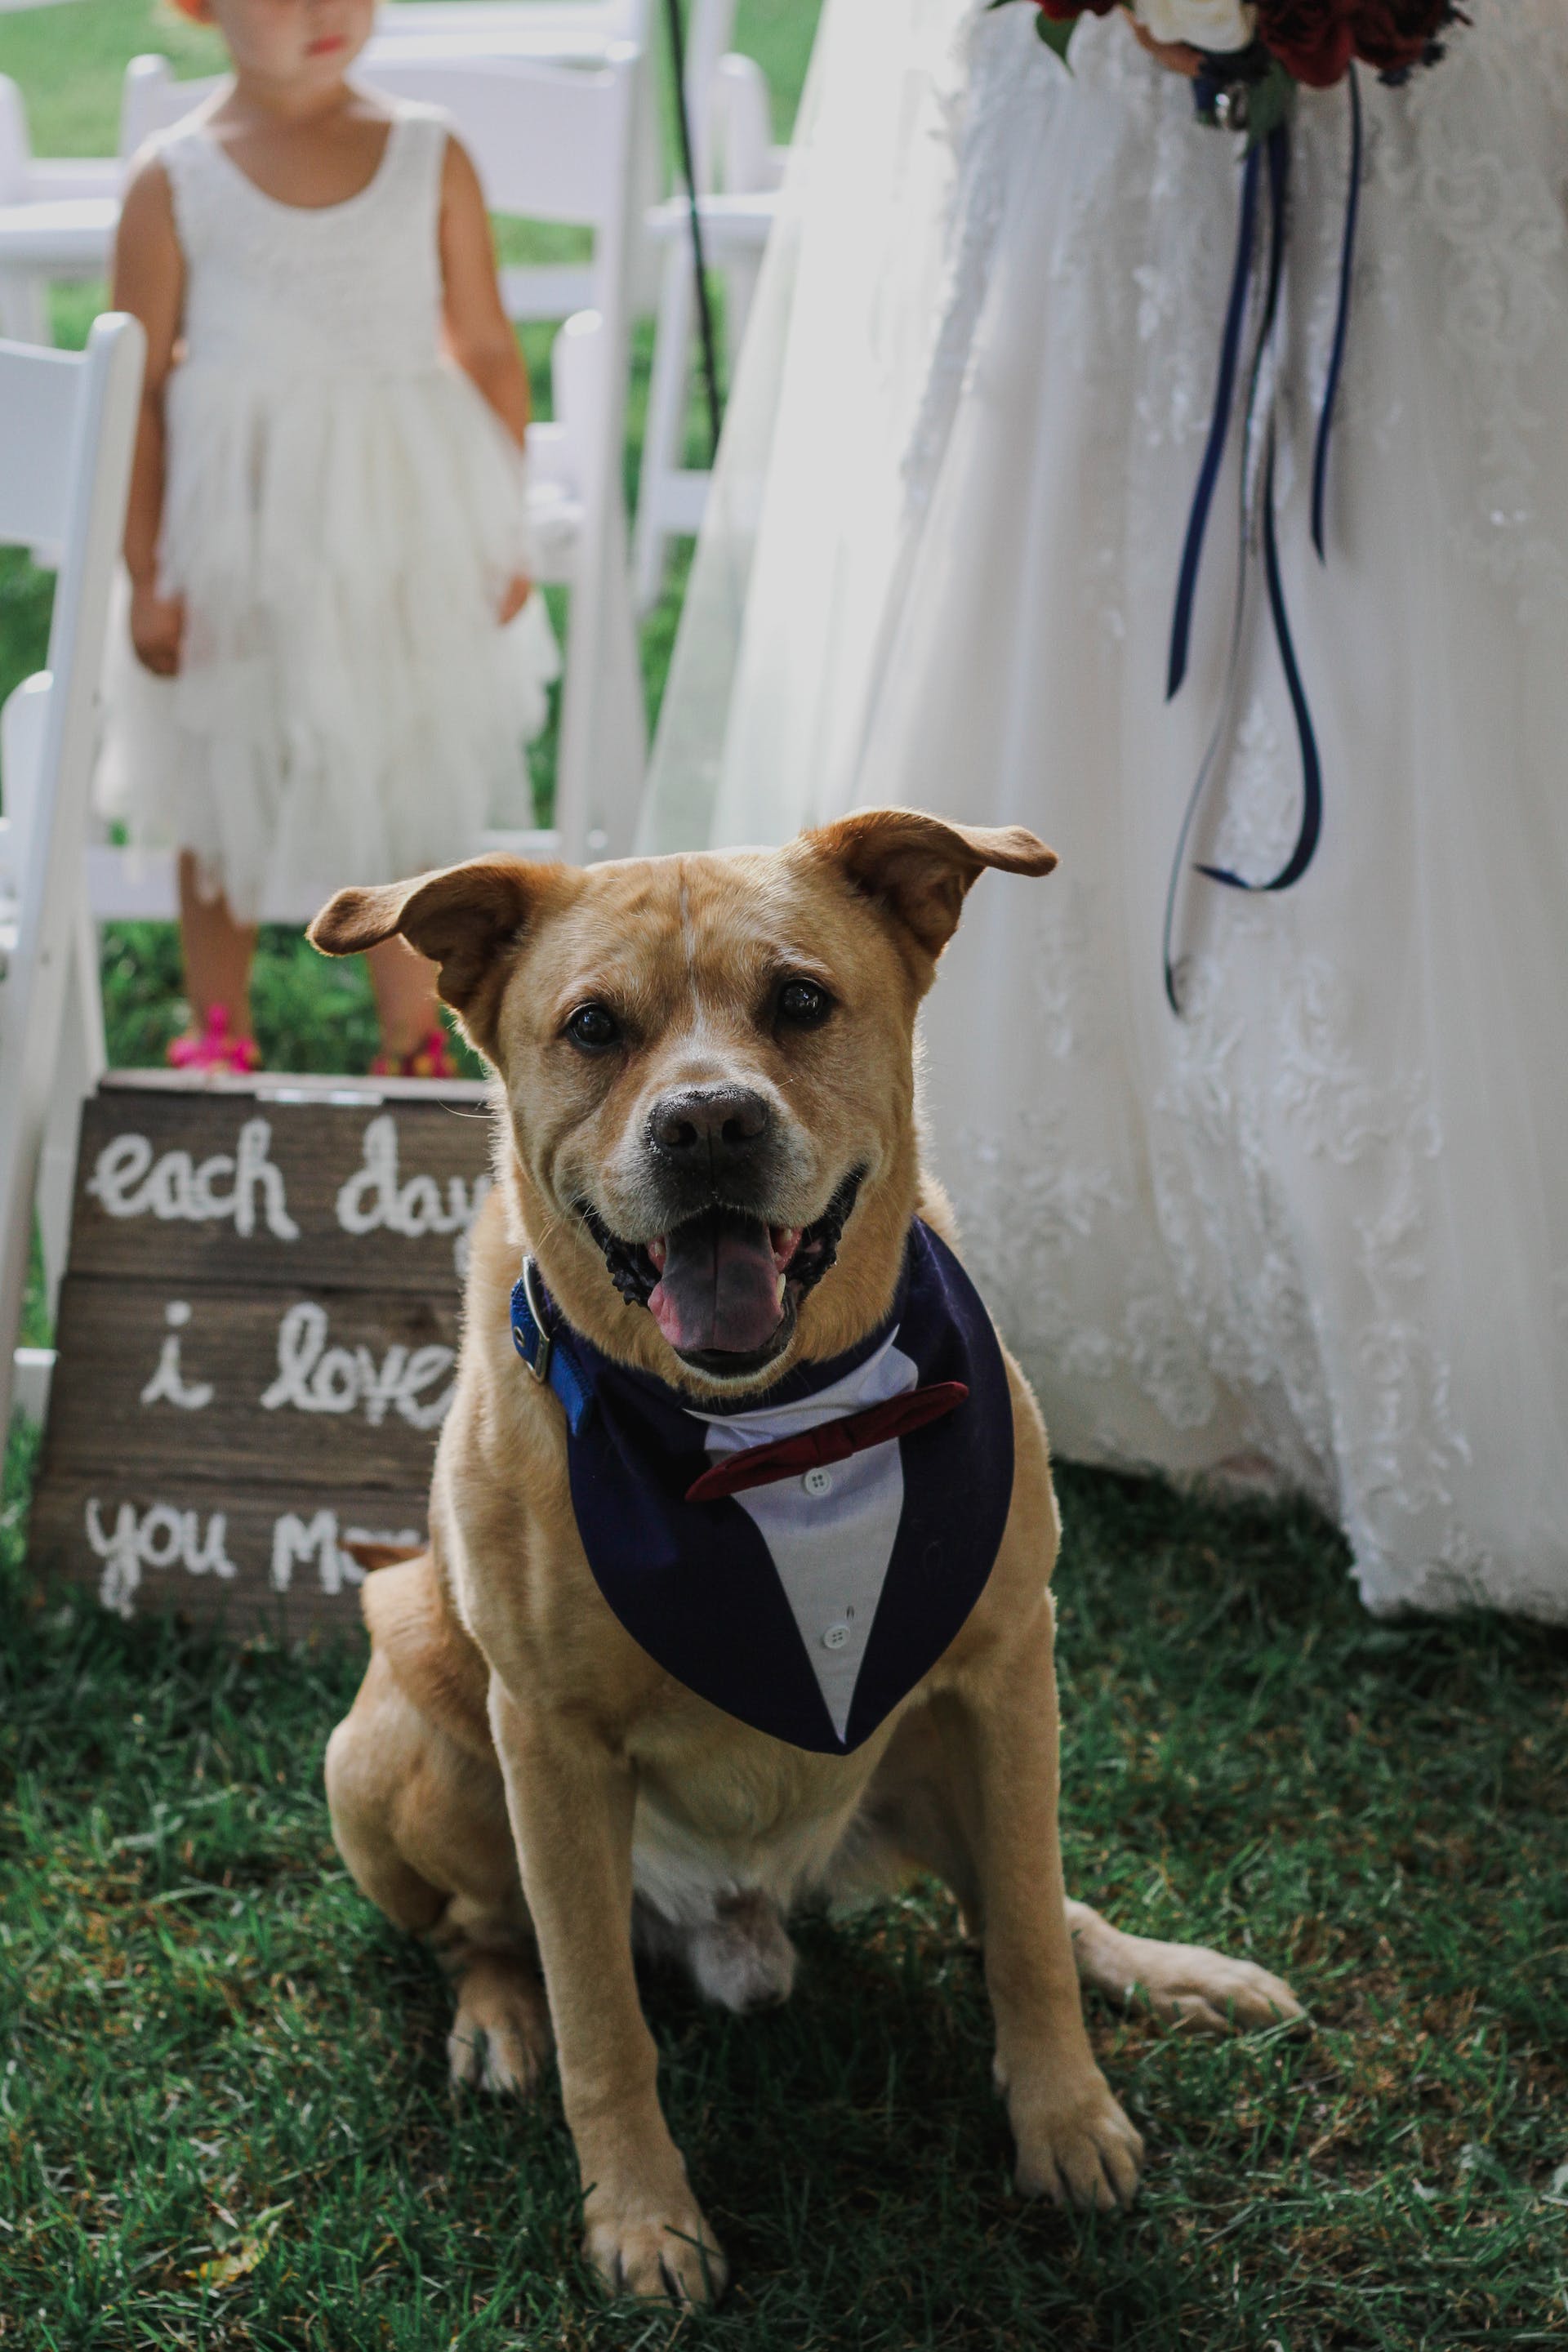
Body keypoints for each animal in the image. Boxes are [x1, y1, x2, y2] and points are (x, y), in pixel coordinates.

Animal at [310, 818, 1297, 2305]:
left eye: (800, 1001)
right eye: (592, 1027)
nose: (709, 1122)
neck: (775, 1433)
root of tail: (741, 1921)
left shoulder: (1009, 1663)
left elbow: (1025, 1928)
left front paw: (1065, 2118)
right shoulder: (549, 1742)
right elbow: (600, 2015)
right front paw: (640, 2217)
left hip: (944, 1749)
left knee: (1020, 1906)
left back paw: (1168, 1971)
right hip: (395, 1738)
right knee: (489, 1933)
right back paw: (497, 2020)